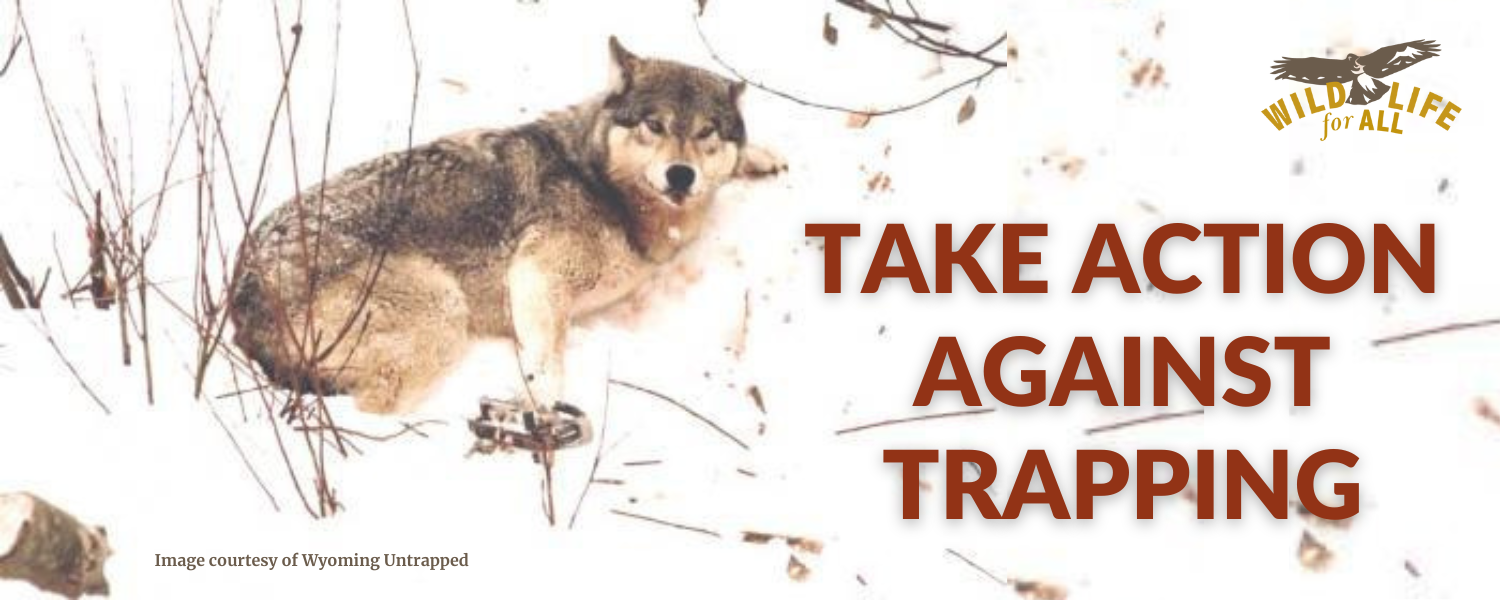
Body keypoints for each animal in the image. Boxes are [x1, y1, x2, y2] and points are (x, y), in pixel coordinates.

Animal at [229, 37, 785, 418]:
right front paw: (540, 409)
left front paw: (761, 158)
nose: (681, 174)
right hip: (442, 309)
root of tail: (240, 293)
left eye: (707, 132)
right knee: (374, 406)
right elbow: (549, 364)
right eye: (655, 125)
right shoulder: (536, 277)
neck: (602, 184)